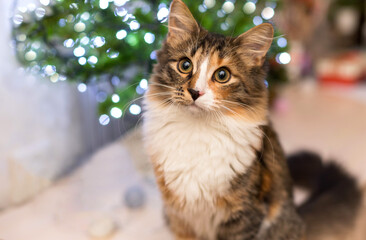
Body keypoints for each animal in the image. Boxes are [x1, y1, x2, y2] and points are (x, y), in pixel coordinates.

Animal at [142, 0, 362, 239]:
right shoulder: (180, 217)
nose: (194, 92)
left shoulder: (244, 213)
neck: (197, 131)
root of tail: (300, 217)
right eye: (185, 65)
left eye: (222, 75)